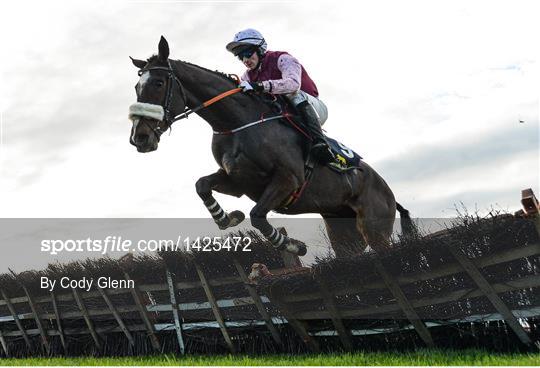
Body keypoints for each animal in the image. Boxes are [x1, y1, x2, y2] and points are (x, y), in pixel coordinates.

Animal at [127, 36, 414, 258]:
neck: (237, 124)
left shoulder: (288, 179)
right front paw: (227, 217)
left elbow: (257, 215)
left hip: (374, 229)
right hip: (342, 231)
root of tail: (387, 189)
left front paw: (293, 245)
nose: (139, 137)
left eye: (158, 83)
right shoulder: (239, 182)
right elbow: (202, 185)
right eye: (136, 86)